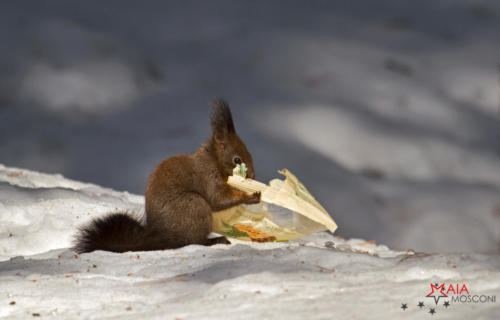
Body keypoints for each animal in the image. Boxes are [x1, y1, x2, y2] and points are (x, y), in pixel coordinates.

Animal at [75, 100, 262, 252]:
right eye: (237, 159)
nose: (253, 175)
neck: (213, 160)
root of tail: (165, 236)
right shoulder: (208, 178)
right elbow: (218, 200)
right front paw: (251, 196)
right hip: (194, 206)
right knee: (193, 241)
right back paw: (215, 241)